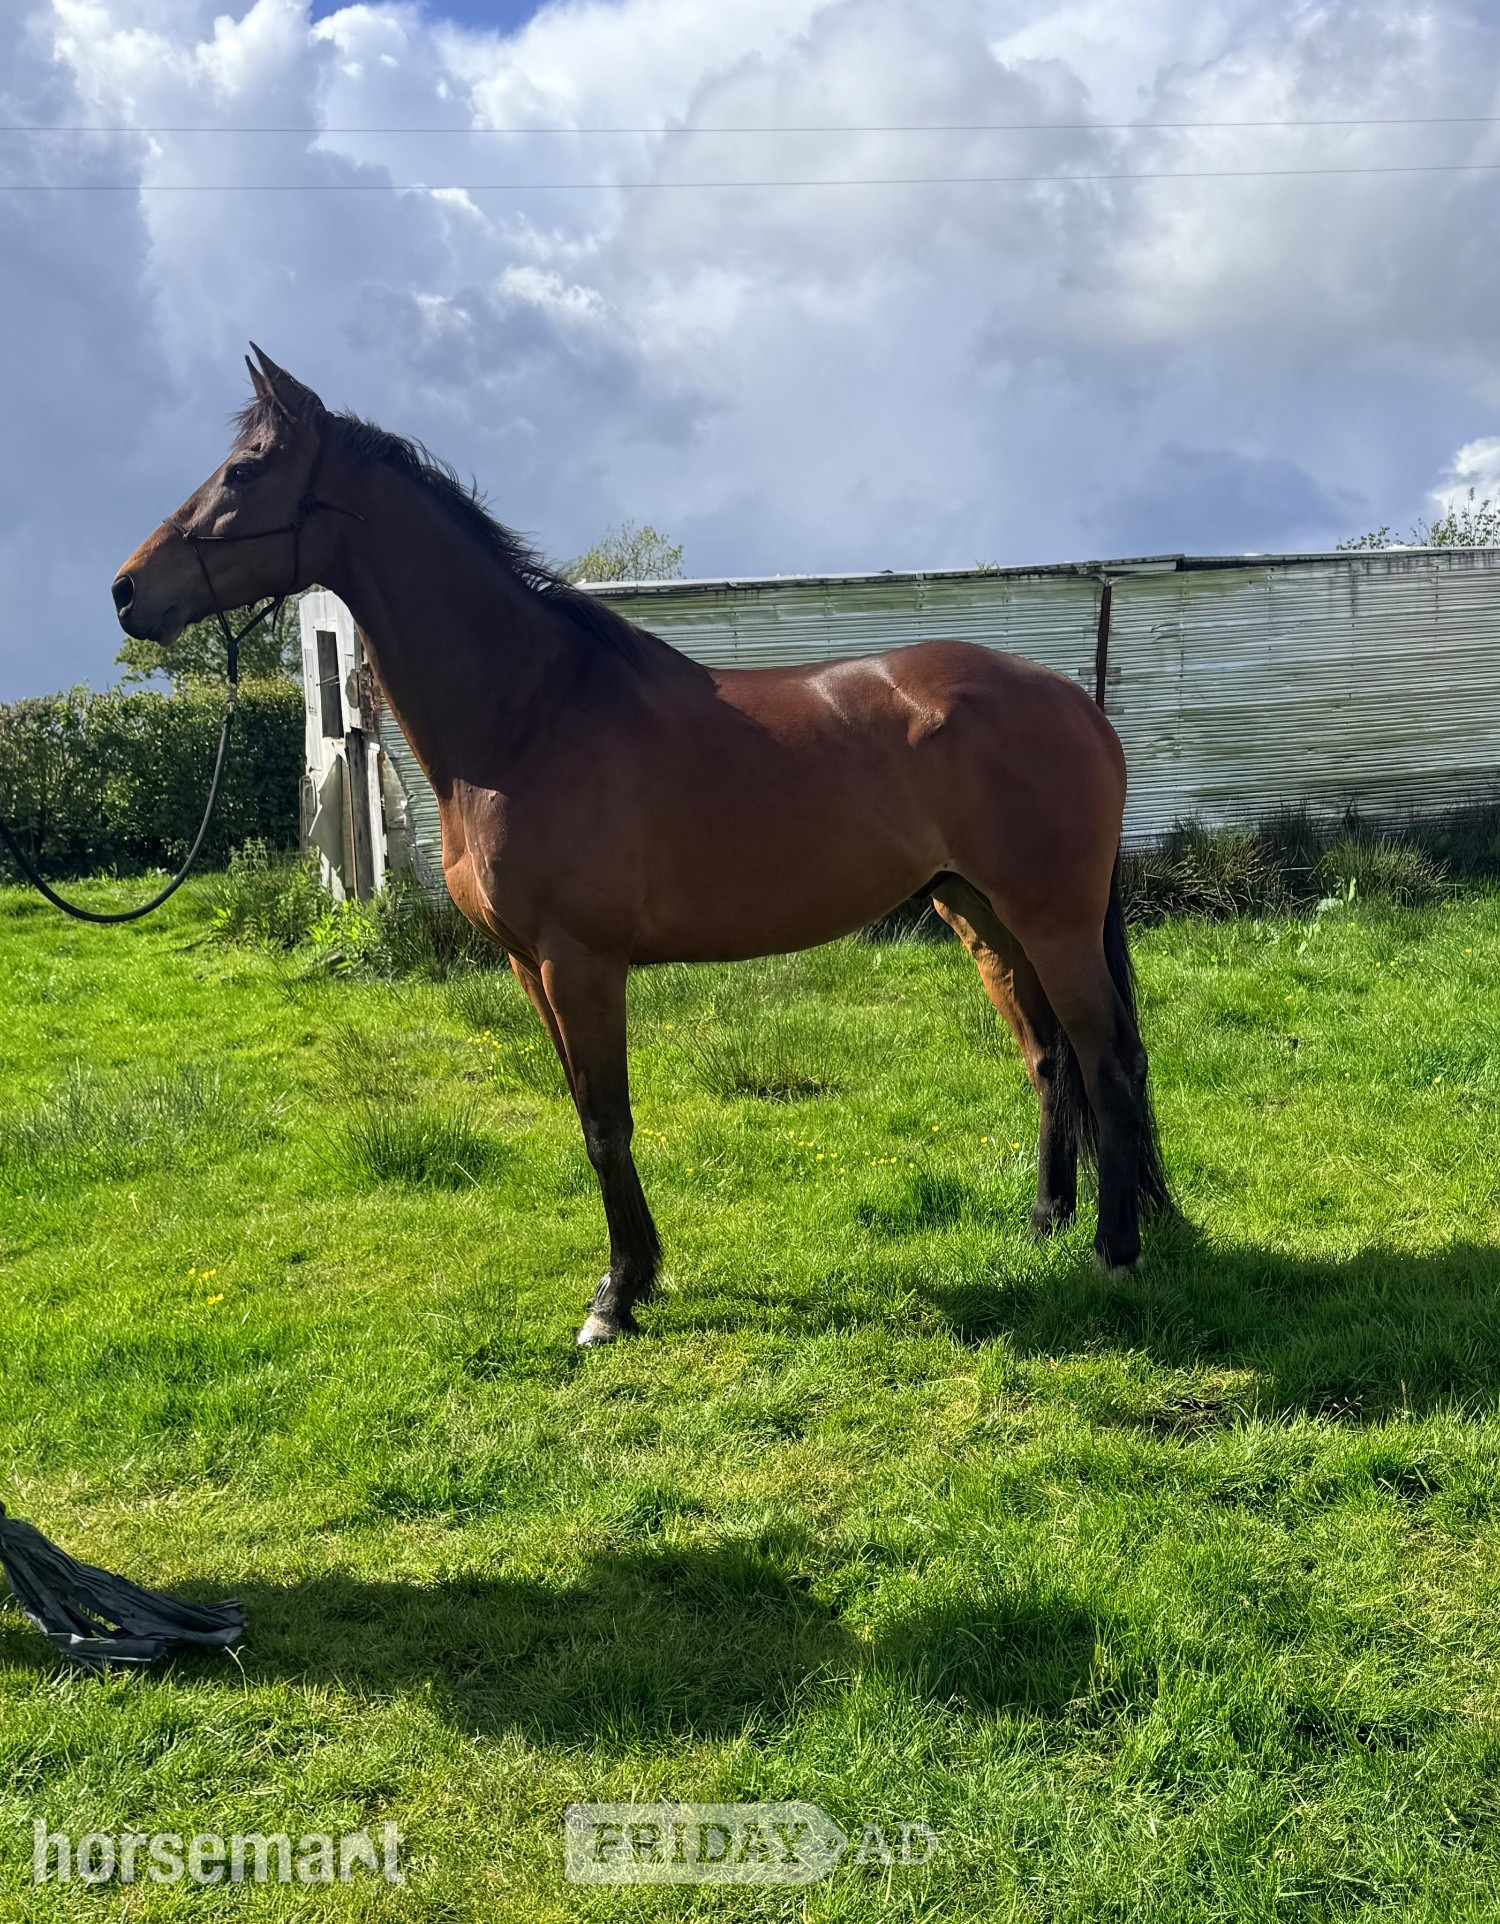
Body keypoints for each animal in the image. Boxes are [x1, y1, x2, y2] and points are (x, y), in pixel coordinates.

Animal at [113, 347, 1171, 1347]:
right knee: (1051, 1062)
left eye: (245, 470)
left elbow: (604, 1124)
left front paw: (616, 1300)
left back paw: (1115, 1255)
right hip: (980, 914)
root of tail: (1074, 701)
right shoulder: (528, 965)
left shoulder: (579, 961)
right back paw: (1044, 1223)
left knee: (1109, 1064)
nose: (127, 593)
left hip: (1052, 919)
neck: (531, 716)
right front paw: (636, 1277)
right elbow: (590, 1119)